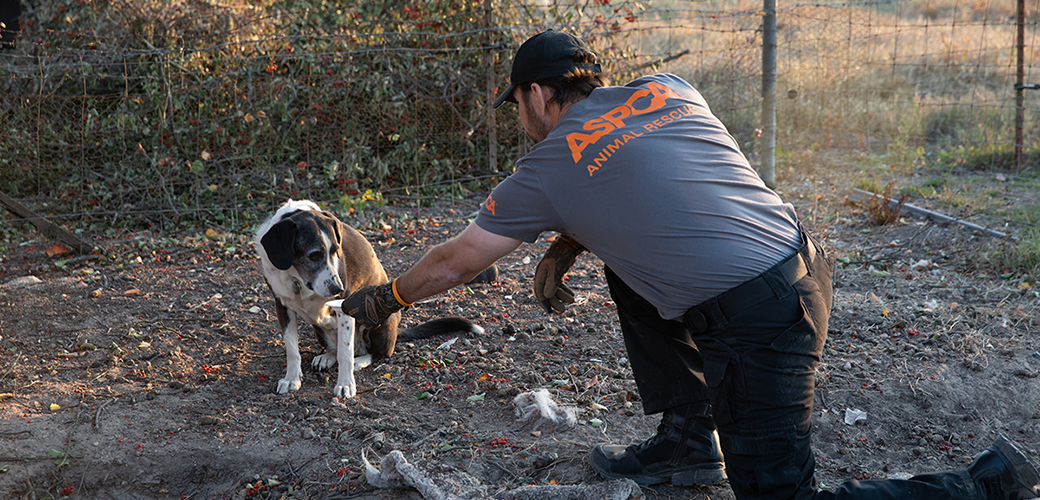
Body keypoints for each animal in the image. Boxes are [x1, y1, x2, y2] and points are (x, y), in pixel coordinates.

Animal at [260, 198, 486, 397]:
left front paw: (345, 384)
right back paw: (327, 356)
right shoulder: (282, 305)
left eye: (335, 251)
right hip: (320, 330)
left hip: (382, 321)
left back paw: (359, 361)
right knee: (336, 346)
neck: (297, 277)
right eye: (314, 255)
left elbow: (345, 352)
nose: (337, 289)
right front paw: (291, 379)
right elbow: (292, 349)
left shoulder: (345, 307)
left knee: (377, 353)